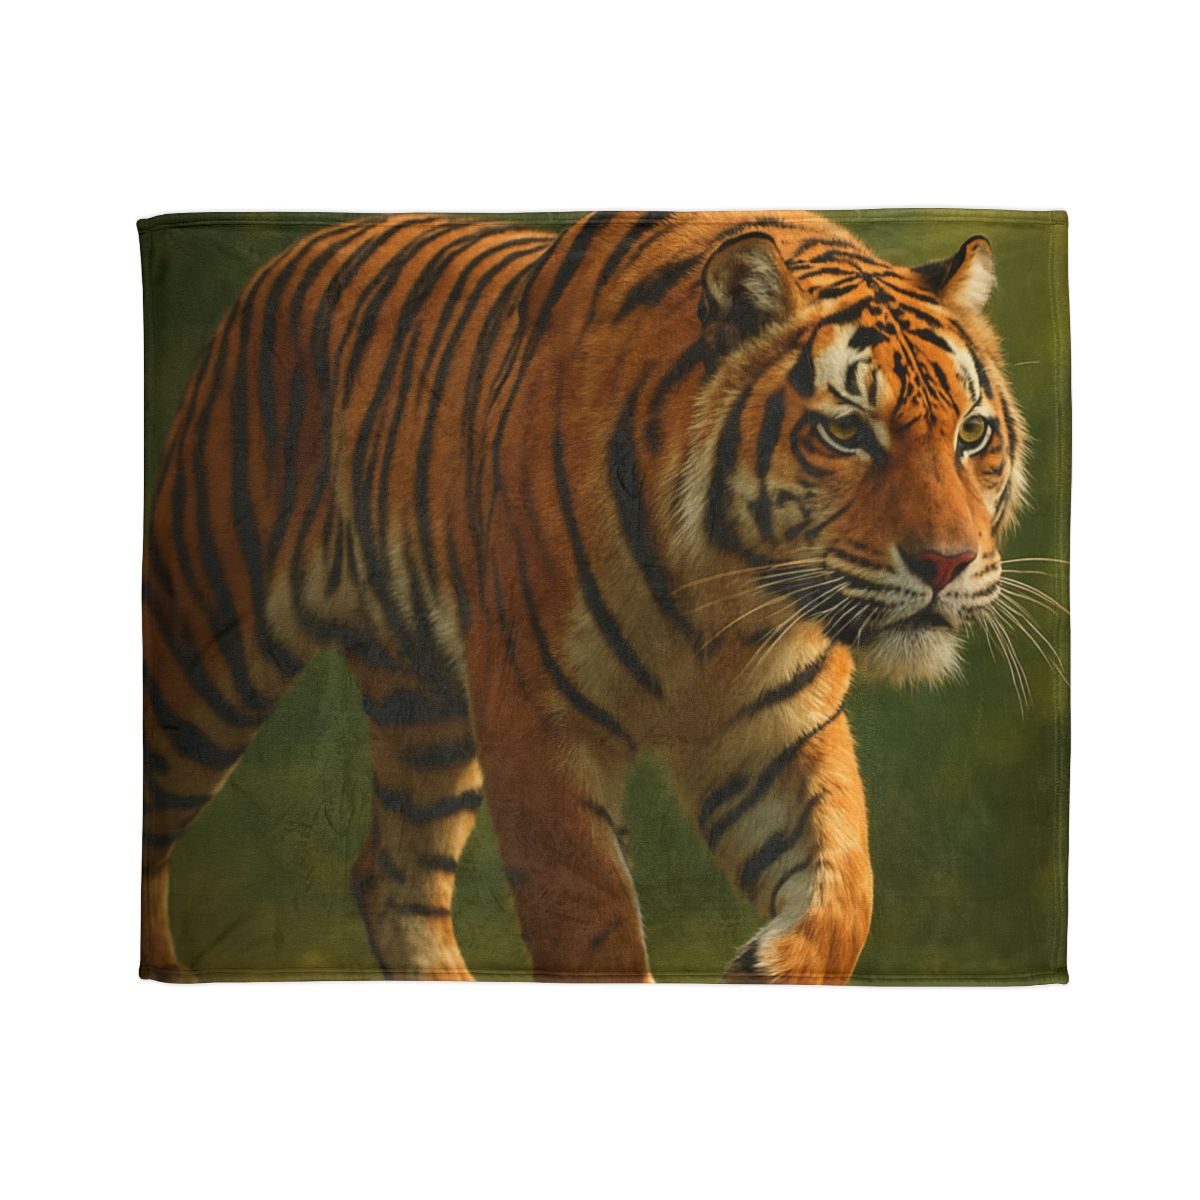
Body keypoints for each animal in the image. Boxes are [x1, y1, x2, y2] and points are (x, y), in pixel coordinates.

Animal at [142, 210, 1026, 983]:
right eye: (845, 432)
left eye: (971, 434)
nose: (946, 562)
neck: (724, 597)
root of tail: (291, 252)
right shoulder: (536, 722)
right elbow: (590, 919)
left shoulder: (780, 731)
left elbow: (848, 885)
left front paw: (769, 968)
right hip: (207, 647)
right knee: (153, 809)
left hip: (426, 709)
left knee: (393, 873)